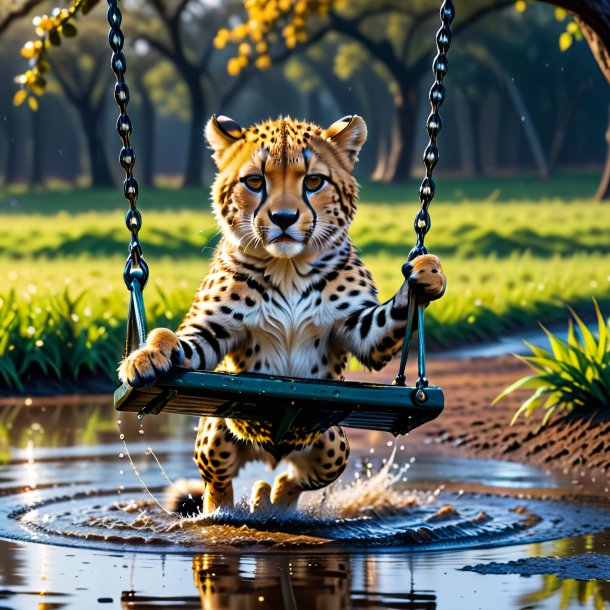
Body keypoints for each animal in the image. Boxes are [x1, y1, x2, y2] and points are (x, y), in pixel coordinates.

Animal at [116, 111, 444, 510]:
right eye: (255, 181)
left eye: (314, 181)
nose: (284, 218)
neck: (287, 267)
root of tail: (270, 450)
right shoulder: (212, 330)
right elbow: (179, 340)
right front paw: (146, 355)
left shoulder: (361, 327)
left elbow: (389, 317)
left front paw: (427, 275)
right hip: (216, 434)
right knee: (217, 485)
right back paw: (227, 509)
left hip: (331, 440)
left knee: (297, 478)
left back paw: (269, 498)